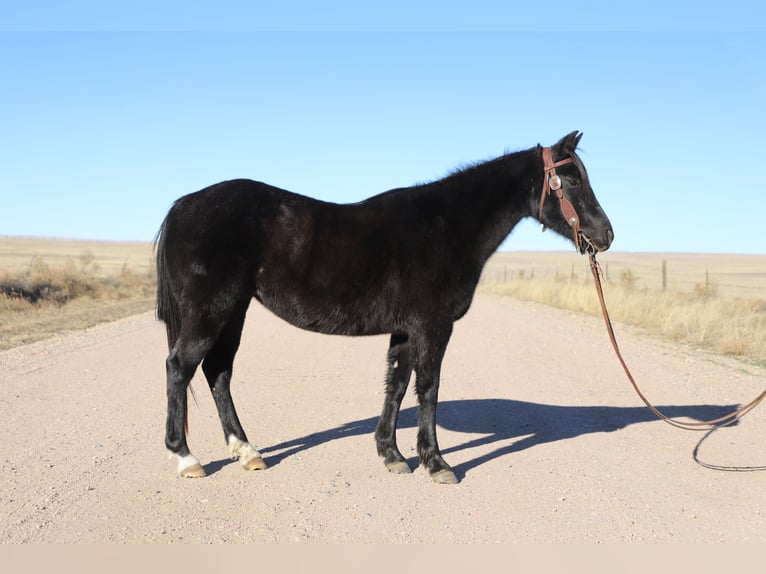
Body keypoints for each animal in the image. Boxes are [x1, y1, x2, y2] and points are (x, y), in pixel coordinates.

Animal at [155, 131, 614, 484]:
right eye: (572, 180)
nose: (606, 235)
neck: (446, 226)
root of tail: (184, 205)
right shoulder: (432, 326)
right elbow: (428, 388)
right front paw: (436, 463)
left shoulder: (406, 328)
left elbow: (396, 384)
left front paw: (392, 455)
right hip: (211, 312)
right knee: (180, 367)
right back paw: (187, 458)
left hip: (234, 312)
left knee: (218, 372)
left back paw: (247, 451)